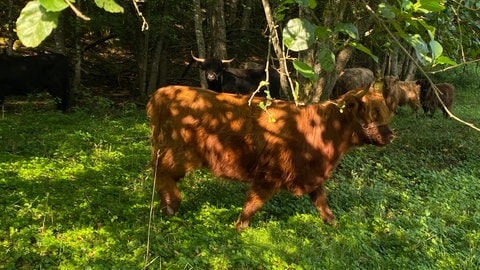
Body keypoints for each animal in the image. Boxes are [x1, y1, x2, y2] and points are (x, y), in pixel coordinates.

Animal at [146, 85, 394, 231]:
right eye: (372, 113)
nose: (391, 135)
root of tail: (162, 93)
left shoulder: (312, 174)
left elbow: (322, 202)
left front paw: (333, 224)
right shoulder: (269, 174)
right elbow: (254, 202)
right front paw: (239, 227)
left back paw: (167, 204)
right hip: (179, 153)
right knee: (160, 170)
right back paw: (171, 204)